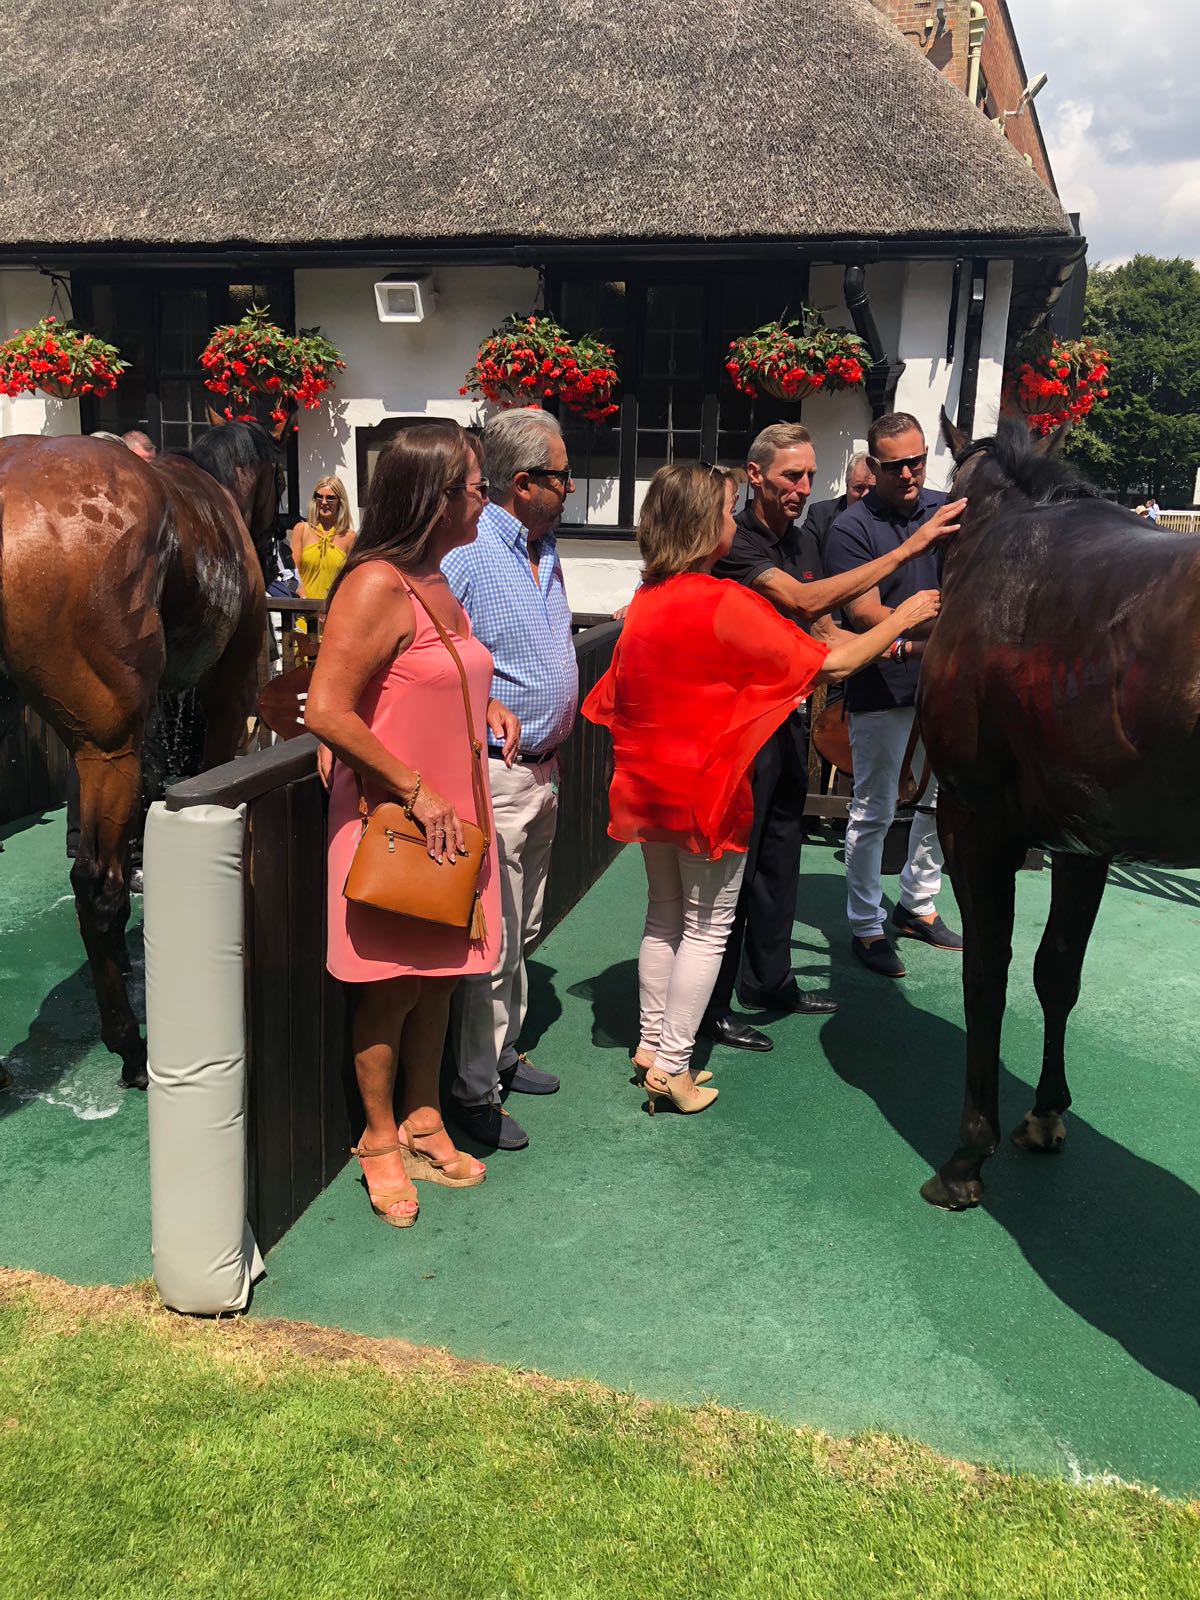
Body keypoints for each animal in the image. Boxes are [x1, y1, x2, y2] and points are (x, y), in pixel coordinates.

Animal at [917, 413, 1200, 1211]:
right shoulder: (1085, 842)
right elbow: (1058, 971)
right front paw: (1044, 1113)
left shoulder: (972, 821)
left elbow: (987, 973)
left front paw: (967, 1153)